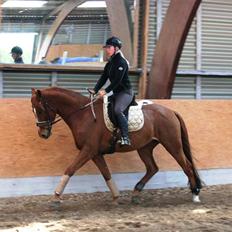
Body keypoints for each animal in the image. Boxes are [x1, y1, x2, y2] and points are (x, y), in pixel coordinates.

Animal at [31, 87, 203, 203]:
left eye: (39, 109)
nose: (43, 134)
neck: (83, 115)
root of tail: (171, 111)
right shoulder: (95, 153)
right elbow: (106, 174)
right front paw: (116, 196)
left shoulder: (88, 150)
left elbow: (70, 169)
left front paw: (56, 197)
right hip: (145, 147)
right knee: (153, 168)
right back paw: (136, 193)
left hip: (172, 144)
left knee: (187, 167)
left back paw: (195, 194)